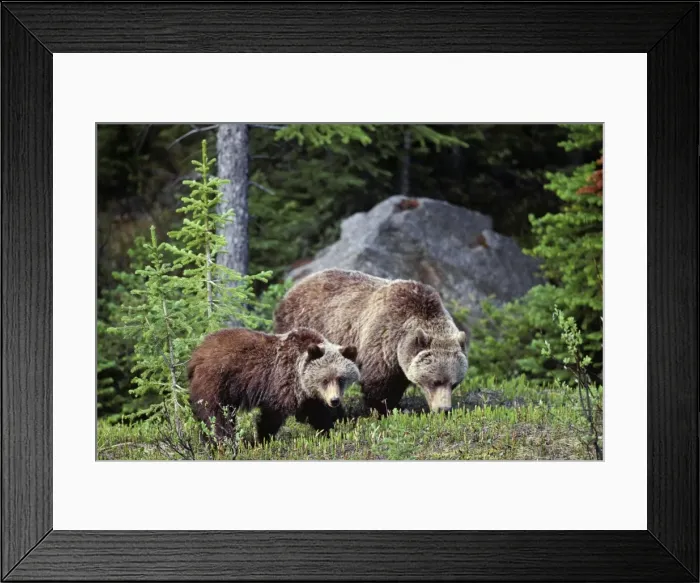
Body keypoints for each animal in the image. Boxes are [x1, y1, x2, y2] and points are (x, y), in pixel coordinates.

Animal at [187, 327, 360, 442]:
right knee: (215, 414)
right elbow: (273, 414)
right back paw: (223, 440)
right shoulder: (283, 382)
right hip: (216, 381)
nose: (334, 400)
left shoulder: (307, 395)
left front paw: (334, 432)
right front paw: (263, 439)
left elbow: (317, 413)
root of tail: (197, 353)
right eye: (324, 380)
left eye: (341, 379)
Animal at [274, 269, 468, 416]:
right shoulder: (383, 341)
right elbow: (379, 384)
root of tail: (292, 288)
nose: (444, 409)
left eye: (454, 383)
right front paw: (384, 409)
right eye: (435, 381)